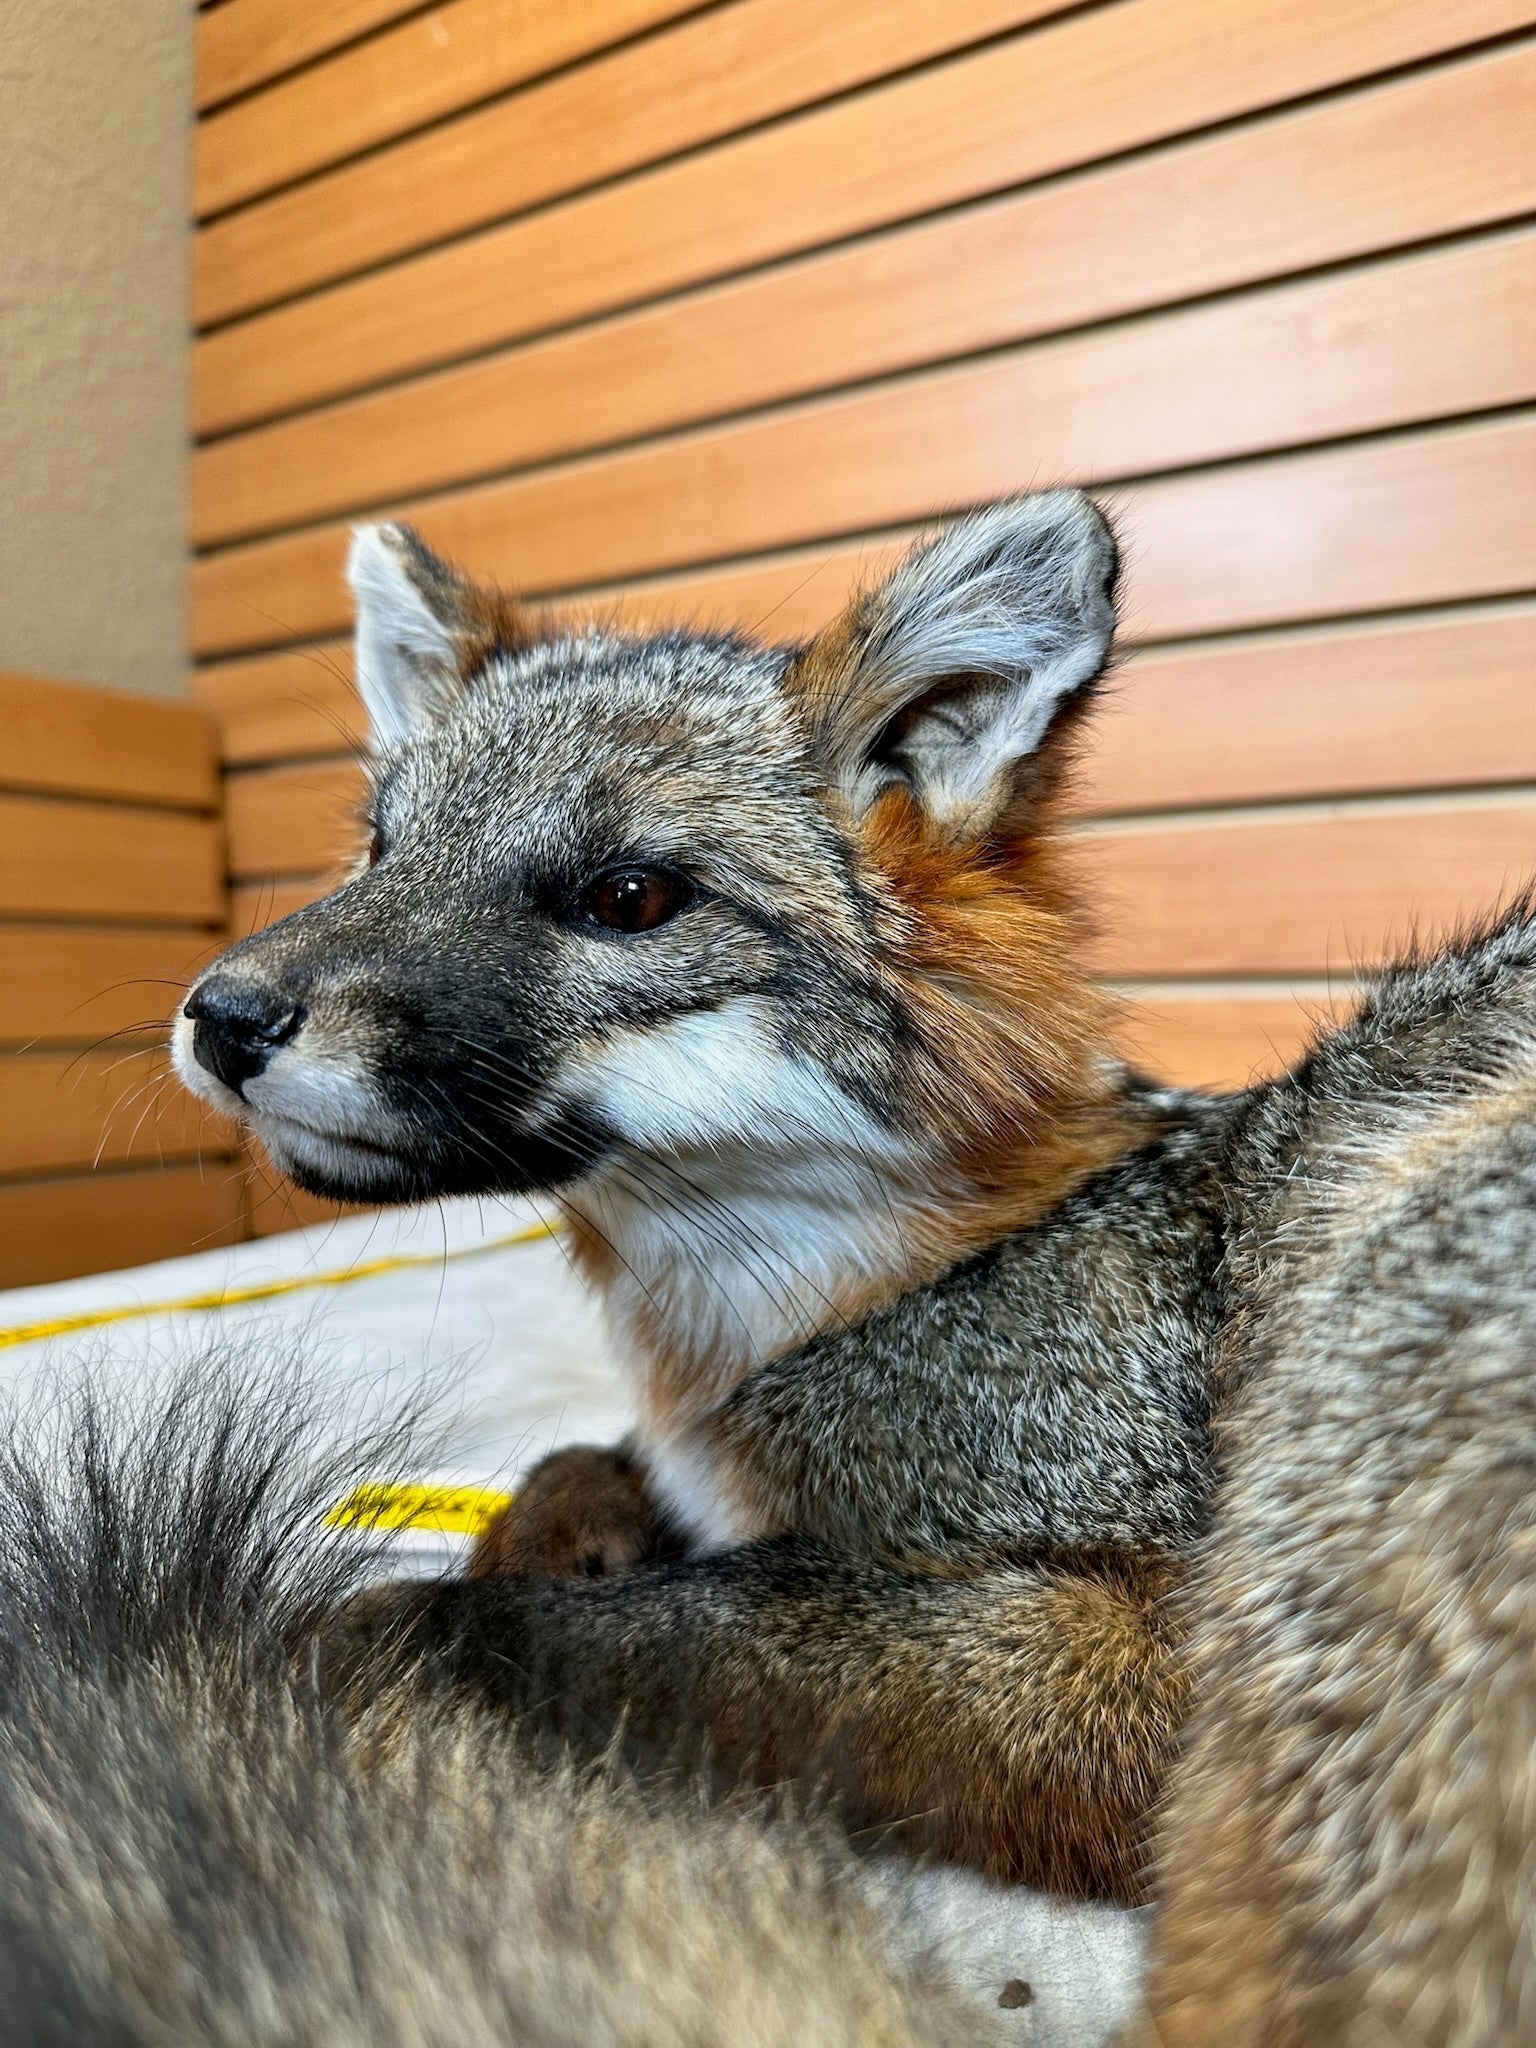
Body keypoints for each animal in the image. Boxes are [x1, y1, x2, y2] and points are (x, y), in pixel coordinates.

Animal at [174, 490, 1536, 2043]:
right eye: (379, 851)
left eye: (626, 897)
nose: (220, 1014)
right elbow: (576, 1468)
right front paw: (564, 1525)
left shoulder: (1148, 1647)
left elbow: (681, 1626)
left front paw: (430, 1623)